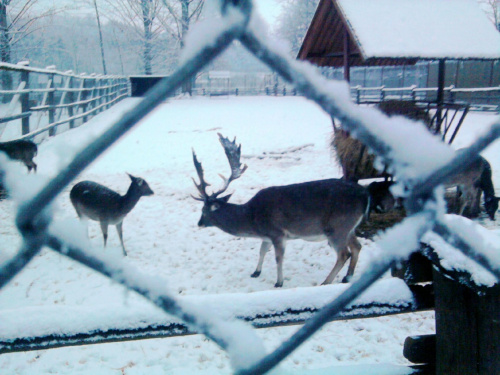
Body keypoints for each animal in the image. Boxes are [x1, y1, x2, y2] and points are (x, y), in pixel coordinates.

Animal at [193, 134, 376, 288]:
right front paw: (256, 272)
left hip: (337, 227)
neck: (252, 220)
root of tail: (365, 194)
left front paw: (279, 282)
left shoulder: (277, 233)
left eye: (204, 210)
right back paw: (347, 277)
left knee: (344, 254)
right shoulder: (267, 235)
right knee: (357, 247)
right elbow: (262, 251)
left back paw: (325, 282)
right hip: (349, 227)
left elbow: (278, 258)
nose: (199, 223)